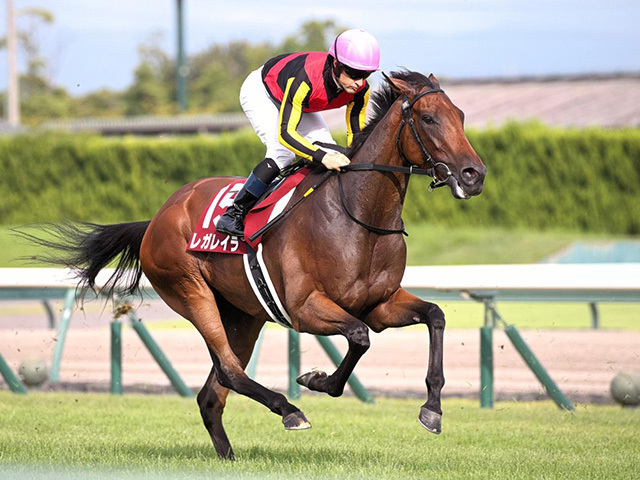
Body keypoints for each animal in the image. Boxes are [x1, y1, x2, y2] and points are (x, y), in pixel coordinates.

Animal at [42, 70, 484, 458]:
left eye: (461, 115)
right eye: (428, 118)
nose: (474, 174)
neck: (358, 215)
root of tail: (157, 217)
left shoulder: (380, 305)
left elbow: (435, 315)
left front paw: (432, 409)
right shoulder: (305, 308)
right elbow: (359, 338)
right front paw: (317, 380)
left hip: (244, 314)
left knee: (212, 393)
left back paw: (229, 456)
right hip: (191, 291)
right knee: (229, 370)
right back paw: (290, 411)